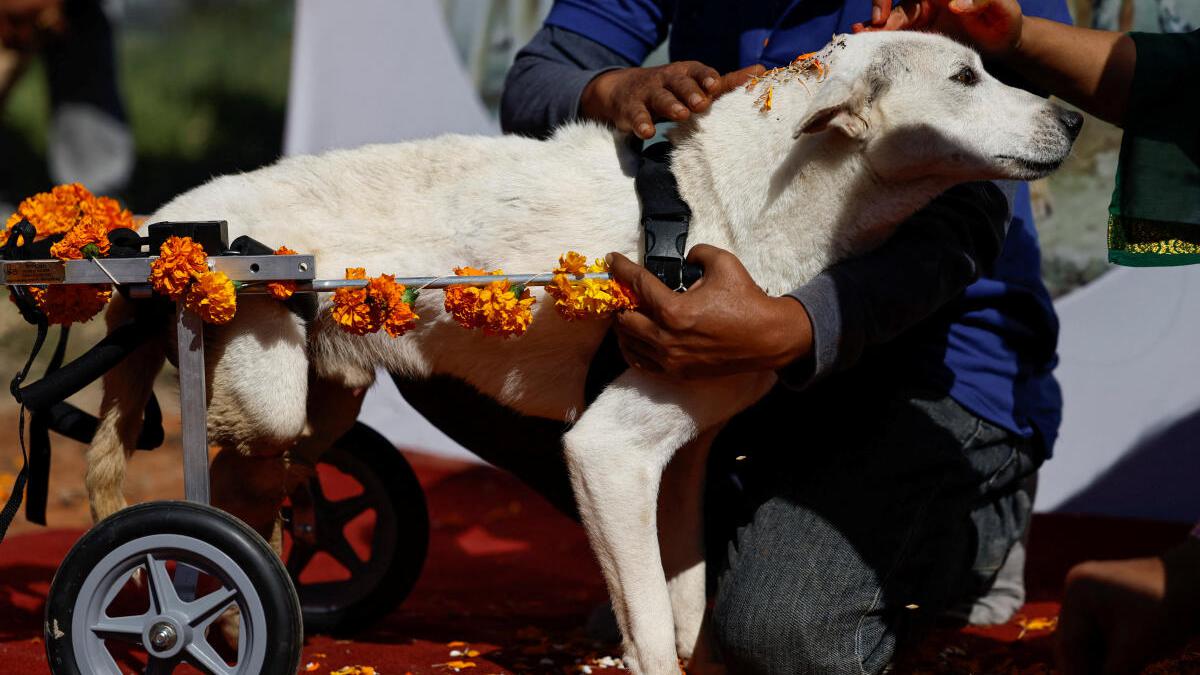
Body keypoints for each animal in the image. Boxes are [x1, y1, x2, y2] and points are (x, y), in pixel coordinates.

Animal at [84, 31, 1080, 672]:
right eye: (966, 75)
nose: (1074, 118)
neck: (732, 201)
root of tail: (160, 228)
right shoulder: (605, 453)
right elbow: (653, 635)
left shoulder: (681, 460)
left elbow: (687, 611)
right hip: (268, 392)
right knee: (206, 516)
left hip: (319, 404)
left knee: (266, 500)